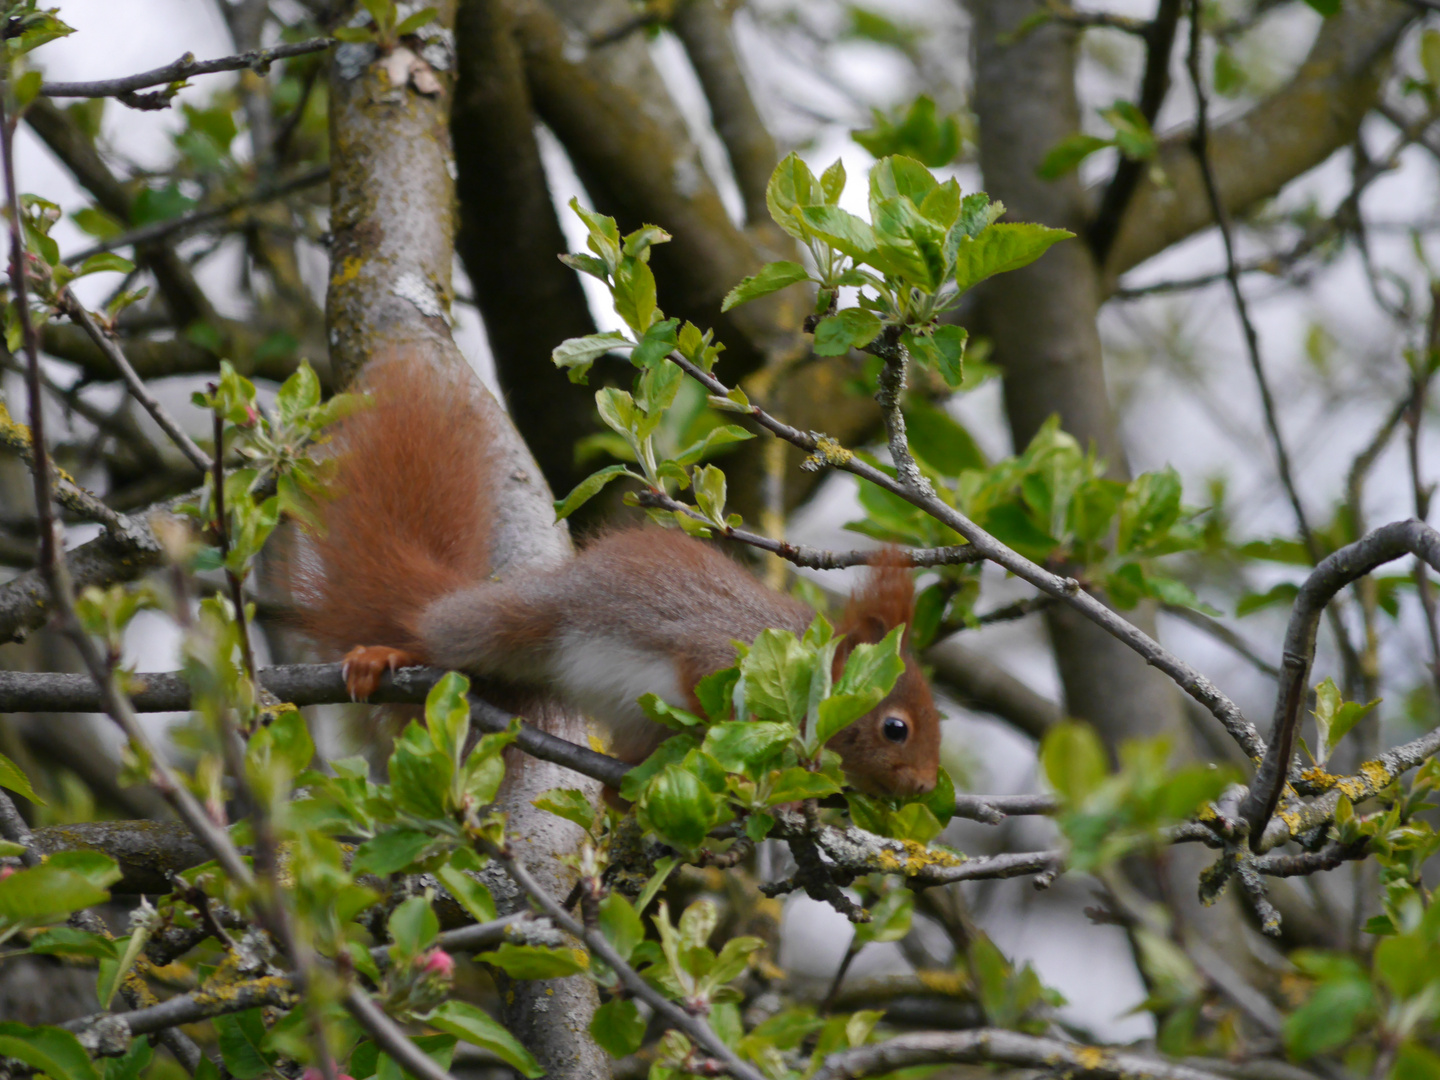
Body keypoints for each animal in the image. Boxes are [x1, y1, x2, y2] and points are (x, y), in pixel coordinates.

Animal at [293, 360, 944, 800]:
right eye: (896, 728)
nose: (924, 785)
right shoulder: (723, 650)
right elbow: (705, 688)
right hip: (517, 623)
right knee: (441, 631)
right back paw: (389, 654)